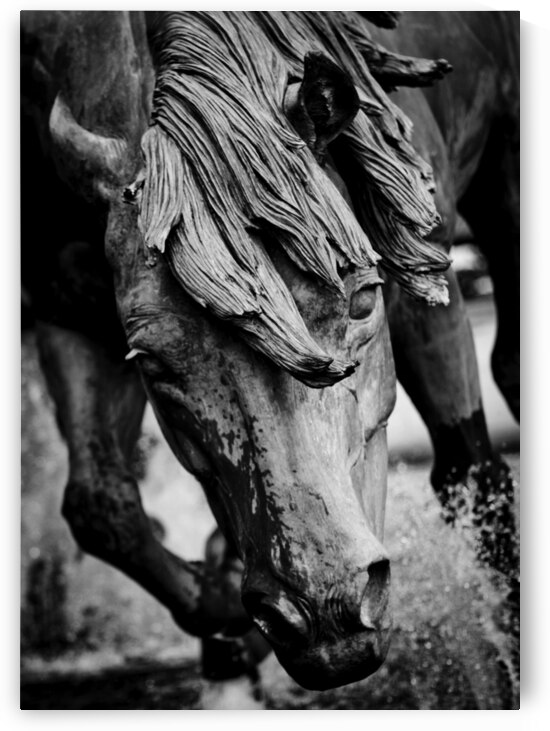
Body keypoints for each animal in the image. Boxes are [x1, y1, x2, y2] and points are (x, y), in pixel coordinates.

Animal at [20, 10, 518, 693]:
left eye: (363, 303)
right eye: (151, 362)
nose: (324, 615)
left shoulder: (424, 273)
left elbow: (471, 471)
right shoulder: (67, 309)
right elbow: (101, 505)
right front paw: (221, 603)